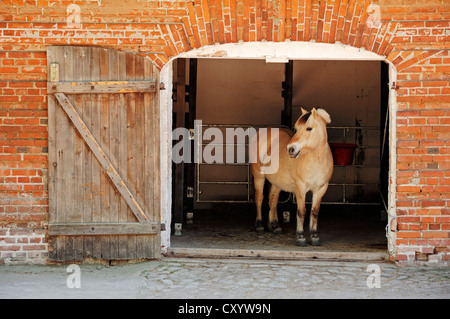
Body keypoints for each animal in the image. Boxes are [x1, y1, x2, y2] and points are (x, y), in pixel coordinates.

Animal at [250, 109, 334, 246]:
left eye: (309, 128)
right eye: (296, 128)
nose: (290, 149)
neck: (317, 160)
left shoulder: (321, 189)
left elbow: (314, 211)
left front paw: (314, 236)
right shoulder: (300, 188)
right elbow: (301, 211)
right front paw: (300, 237)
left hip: (277, 182)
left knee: (273, 199)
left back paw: (275, 226)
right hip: (259, 176)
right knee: (259, 198)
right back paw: (259, 226)